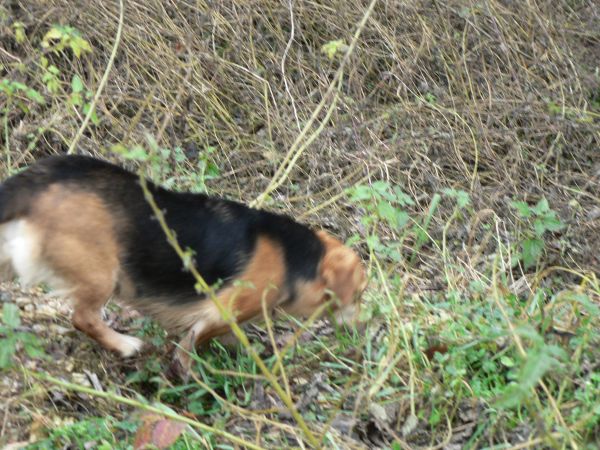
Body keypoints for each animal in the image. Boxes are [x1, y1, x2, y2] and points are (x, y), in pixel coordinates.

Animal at [0, 155, 366, 376]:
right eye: (361, 294)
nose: (361, 330)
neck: (295, 256)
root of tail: (39, 177)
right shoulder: (220, 313)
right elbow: (195, 343)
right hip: (101, 273)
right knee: (83, 318)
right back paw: (124, 344)